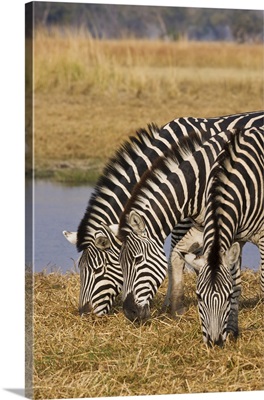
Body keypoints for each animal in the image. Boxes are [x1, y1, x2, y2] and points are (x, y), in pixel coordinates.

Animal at [178, 126, 262, 346]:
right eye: (198, 297)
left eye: (226, 296)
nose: (214, 342)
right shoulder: (235, 238)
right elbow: (236, 282)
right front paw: (233, 330)